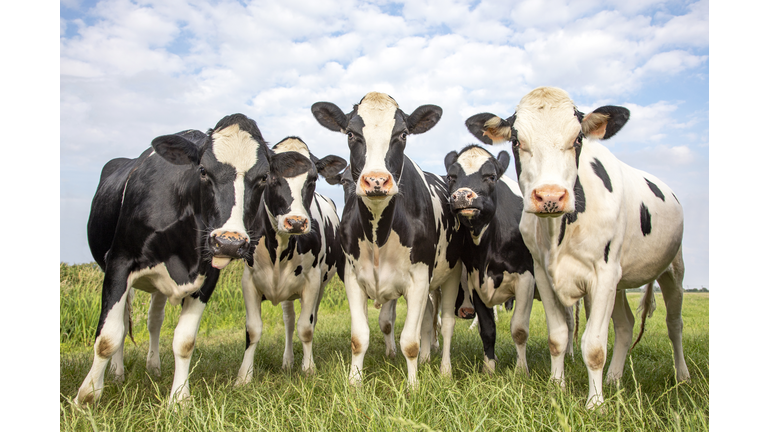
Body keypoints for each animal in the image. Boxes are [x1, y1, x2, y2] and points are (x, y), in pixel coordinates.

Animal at [76, 114, 272, 404]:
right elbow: (107, 337)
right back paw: (117, 373)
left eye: (263, 178)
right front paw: (87, 396)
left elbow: (185, 341)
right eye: (203, 171)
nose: (229, 242)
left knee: (153, 320)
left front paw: (179, 399)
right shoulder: (119, 262)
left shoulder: (207, 275)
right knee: (123, 322)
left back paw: (154, 367)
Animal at [232, 137, 344, 384]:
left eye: (313, 178)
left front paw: (309, 368)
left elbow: (306, 327)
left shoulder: (312, 281)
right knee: (288, 321)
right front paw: (244, 376)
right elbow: (253, 329)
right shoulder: (249, 280)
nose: (296, 222)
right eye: (268, 176)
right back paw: (287, 361)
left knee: (307, 319)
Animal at [310, 92, 462, 388]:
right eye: (351, 133)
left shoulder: (419, 279)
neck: (378, 234)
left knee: (447, 323)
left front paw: (413, 387)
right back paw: (427, 358)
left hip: (451, 273)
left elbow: (410, 341)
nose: (376, 180)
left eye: (402, 134)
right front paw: (354, 384)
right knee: (429, 317)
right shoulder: (353, 277)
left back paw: (445, 369)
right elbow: (359, 338)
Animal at [464, 87, 692, 408]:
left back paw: (681, 375)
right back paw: (614, 378)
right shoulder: (543, 274)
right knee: (625, 326)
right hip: (621, 282)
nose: (550, 196)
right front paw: (556, 386)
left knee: (674, 324)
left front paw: (595, 404)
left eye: (578, 140)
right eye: (517, 141)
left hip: (673, 270)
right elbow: (557, 336)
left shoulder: (603, 275)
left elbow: (594, 346)